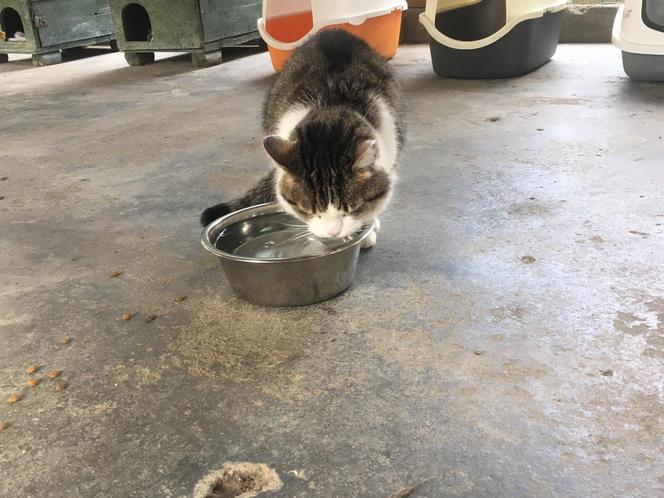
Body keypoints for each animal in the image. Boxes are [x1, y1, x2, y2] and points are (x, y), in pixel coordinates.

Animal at [200, 28, 402, 247]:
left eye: (352, 210)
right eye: (309, 211)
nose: (333, 232)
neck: (331, 108)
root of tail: (334, 30)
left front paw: (368, 227)